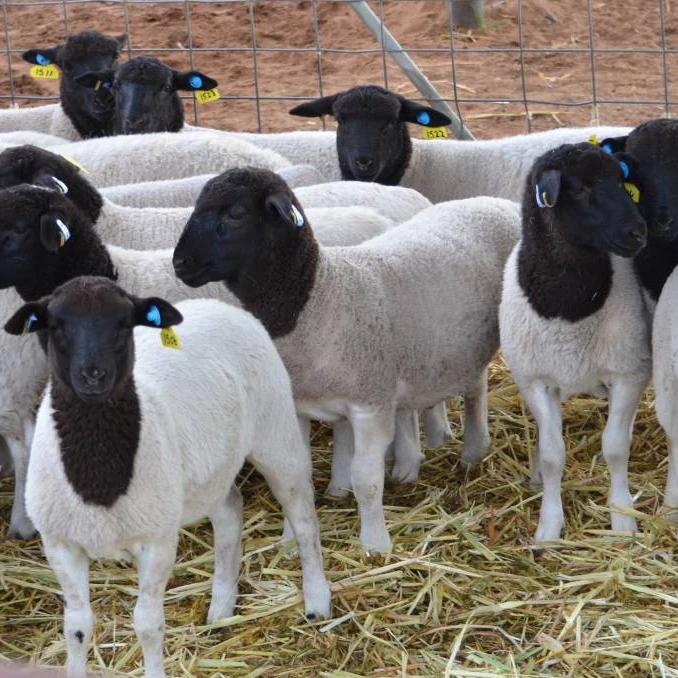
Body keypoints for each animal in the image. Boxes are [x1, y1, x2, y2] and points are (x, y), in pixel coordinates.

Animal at [5, 276, 331, 678]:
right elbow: (77, 628)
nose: (93, 374)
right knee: (230, 511)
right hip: (212, 470)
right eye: (56, 325)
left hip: (276, 432)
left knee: (303, 516)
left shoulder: (156, 540)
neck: (100, 482)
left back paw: (317, 600)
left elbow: (148, 626)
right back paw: (221, 607)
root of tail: (219, 305)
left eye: (123, 323)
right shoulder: (61, 543)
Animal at [172, 167, 522, 552]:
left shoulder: (370, 406)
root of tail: (491, 202)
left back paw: (473, 450)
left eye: (235, 214)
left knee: (476, 393)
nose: (179, 263)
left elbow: (365, 479)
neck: (320, 296)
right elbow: (300, 476)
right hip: (455, 347)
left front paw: (375, 543)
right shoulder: (299, 406)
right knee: (474, 381)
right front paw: (290, 538)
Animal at [499, 142, 650, 544]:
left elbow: (616, 448)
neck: (569, 309)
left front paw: (622, 519)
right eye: (580, 189)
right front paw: (548, 529)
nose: (638, 233)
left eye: (621, 182)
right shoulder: (535, 381)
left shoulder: (628, 373)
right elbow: (554, 456)